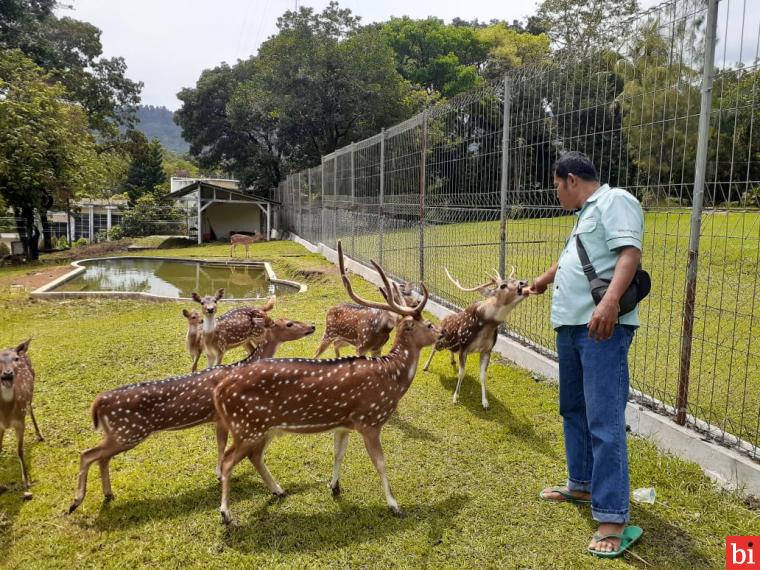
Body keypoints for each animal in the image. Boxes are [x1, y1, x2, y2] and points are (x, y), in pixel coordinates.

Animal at [0, 338, 44, 496]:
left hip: (30, 394)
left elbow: (20, 450)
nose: (8, 373)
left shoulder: (20, 422)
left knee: (31, 409)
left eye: (16, 359)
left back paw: (40, 435)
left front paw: (26, 481)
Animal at [67, 312, 314, 512]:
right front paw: (218, 473)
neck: (239, 367)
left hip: (119, 433)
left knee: (101, 457)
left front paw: (218, 473)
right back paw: (76, 502)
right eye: (289, 323)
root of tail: (97, 403)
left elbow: (220, 444)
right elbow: (221, 446)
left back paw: (108, 494)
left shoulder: (218, 419)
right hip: (128, 431)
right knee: (88, 454)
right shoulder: (221, 418)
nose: (311, 326)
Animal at [214, 240, 440, 524]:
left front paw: (334, 486)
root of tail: (219, 390)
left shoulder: (344, 423)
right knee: (228, 461)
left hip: (263, 428)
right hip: (246, 426)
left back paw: (278, 490)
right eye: (429, 325)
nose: (442, 333)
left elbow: (338, 453)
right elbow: (380, 462)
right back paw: (226, 513)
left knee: (253, 456)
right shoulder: (370, 420)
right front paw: (394, 505)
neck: (393, 377)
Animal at [422, 266, 528, 408]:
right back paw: (425, 366)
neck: (487, 326)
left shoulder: (487, 350)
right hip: (441, 341)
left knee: (450, 351)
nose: (524, 282)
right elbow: (461, 373)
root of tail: (444, 318)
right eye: (502, 285)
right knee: (434, 347)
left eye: (515, 278)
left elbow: (483, 376)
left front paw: (485, 403)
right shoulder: (464, 346)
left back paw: (452, 360)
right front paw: (455, 397)